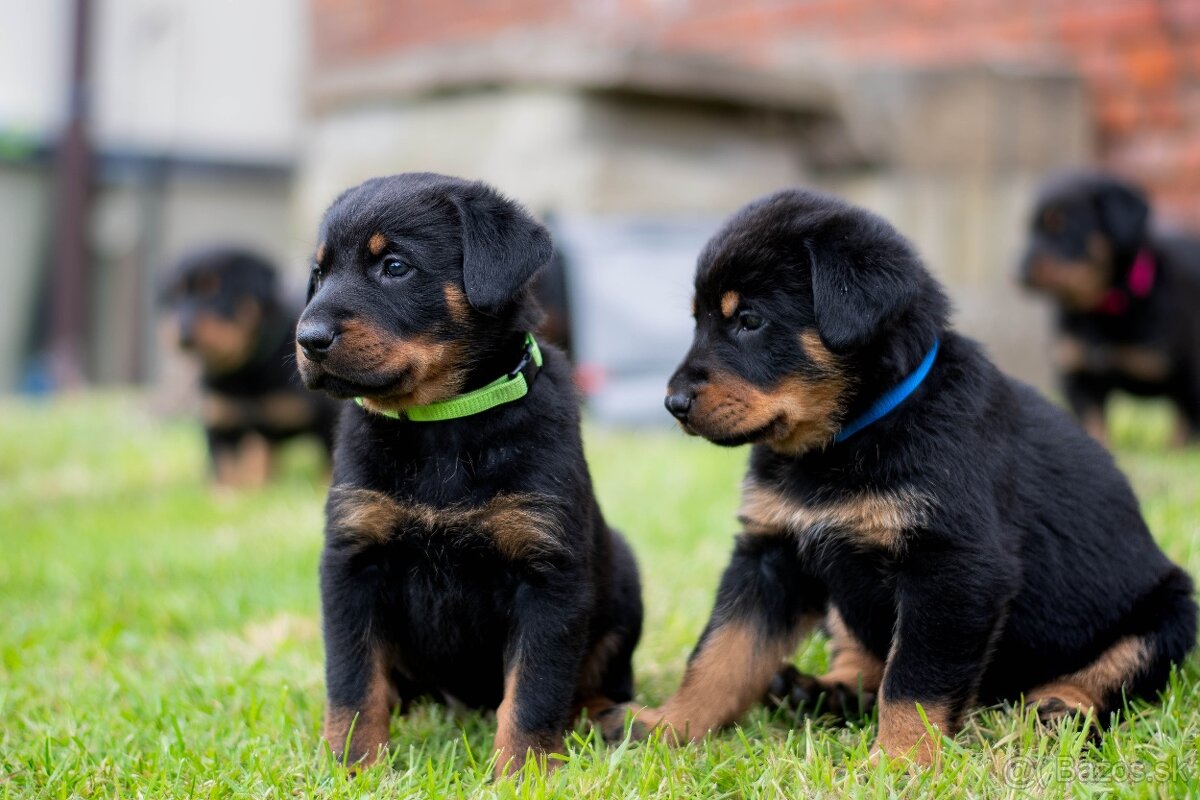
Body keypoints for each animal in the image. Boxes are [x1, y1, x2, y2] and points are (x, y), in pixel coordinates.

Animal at [159, 247, 338, 484]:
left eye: (216, 292)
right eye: (176, 296)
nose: (182, 334)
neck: (244, 370)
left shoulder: (325, 420)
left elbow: (330, 467)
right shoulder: (221, 424)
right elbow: (224, 471)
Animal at [1017, 172, 1200, 443]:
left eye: (1064, 229)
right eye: (1031, 230)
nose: (1018, 272)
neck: (1101, 307)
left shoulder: (1189, 378)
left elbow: (1184, 429)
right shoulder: (1079, 376)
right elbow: (1093, 424)